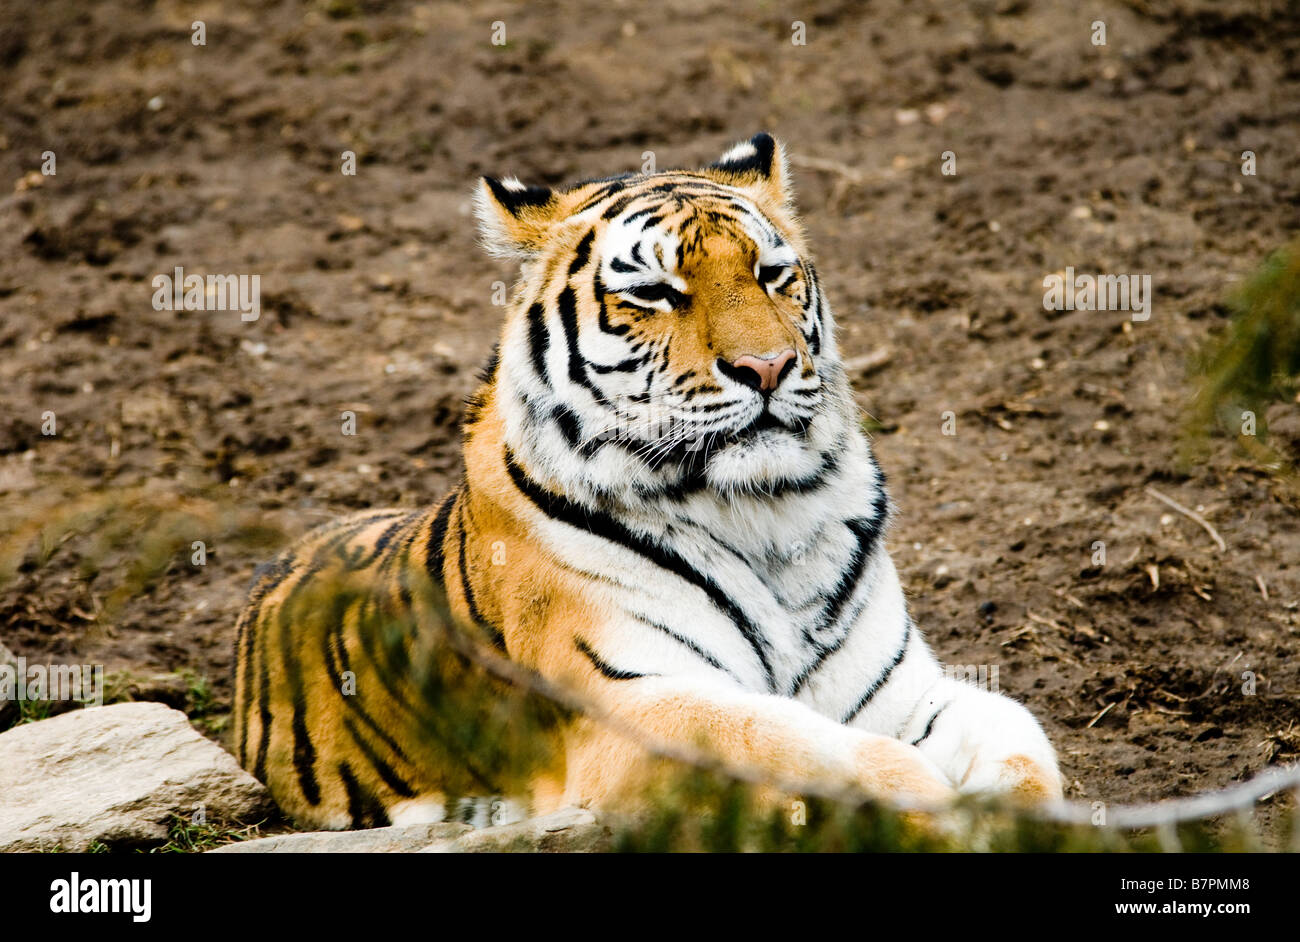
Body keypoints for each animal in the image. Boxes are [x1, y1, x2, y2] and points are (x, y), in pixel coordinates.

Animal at [233, 133, 1060, 831]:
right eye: (658, 292)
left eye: (772, 276)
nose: (768, 367)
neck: (767, 513)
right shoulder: (634, 704)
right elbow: (796, 745)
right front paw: (928, 808)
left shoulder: (901, 692)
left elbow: (1018, 735)